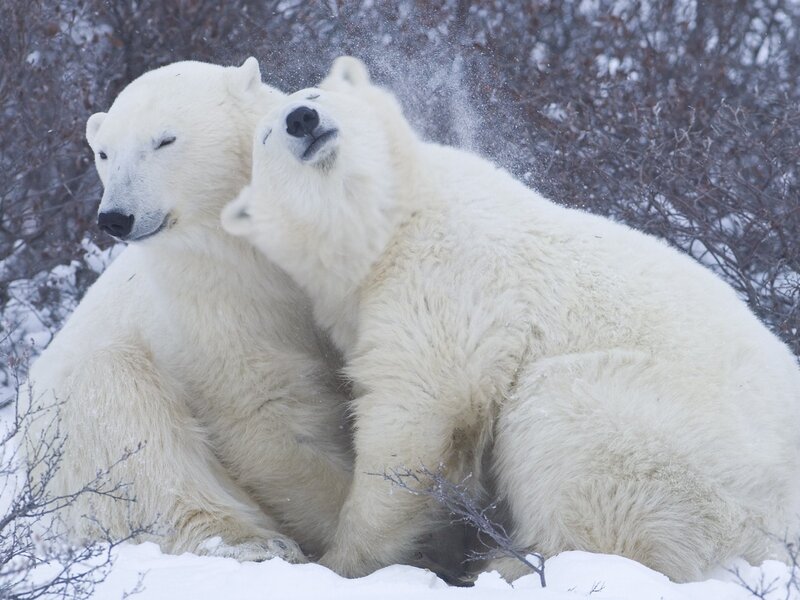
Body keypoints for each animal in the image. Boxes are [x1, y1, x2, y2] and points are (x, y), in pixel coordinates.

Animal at [24, 58, 354, 563]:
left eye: (165, 140)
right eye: (104, 153)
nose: (115, 217)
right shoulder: (212, 301)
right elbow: (267, 412)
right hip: (70, 438)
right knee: (129, 422)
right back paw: (253, 544)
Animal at [221, 56, 800, 582]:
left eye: (315, 95)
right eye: (267, 135)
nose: (301, 120)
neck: (392, 224)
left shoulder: (447, 276)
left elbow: (418, 411)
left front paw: (342, 561)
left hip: (682, 449)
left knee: (564, 426)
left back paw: (512, 562)